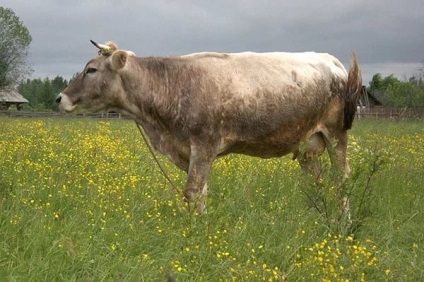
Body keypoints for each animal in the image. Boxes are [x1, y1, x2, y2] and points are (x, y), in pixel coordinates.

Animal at [55, 40, 362, 214]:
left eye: (91, 69)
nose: (60, 98)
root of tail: (330, 60)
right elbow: (200, 192)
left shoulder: (203, 145)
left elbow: (192, 192)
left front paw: (196, 237)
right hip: (309, 144)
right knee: (317, 181)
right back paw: (316, 216)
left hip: (337, 135)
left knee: (342, 179)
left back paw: (342, 221)